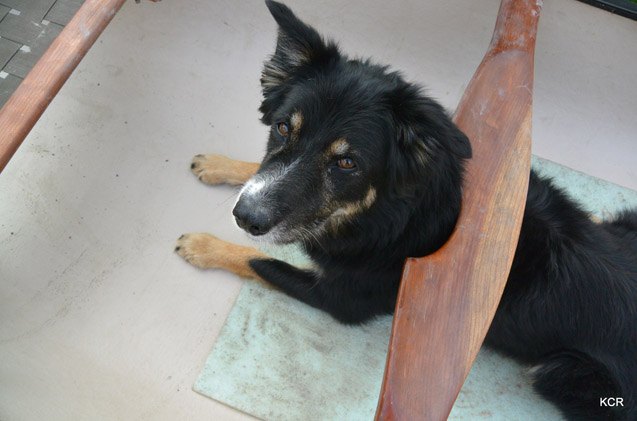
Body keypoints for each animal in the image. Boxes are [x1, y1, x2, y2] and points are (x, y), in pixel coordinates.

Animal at [175, 2, 636, 416]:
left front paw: (201, 245)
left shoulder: (340, 298)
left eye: (347, 163)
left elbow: (258, 261)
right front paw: (217, 165)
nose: (245, 216)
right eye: (283, 127)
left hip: (559, 370)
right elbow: (254, 176)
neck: (386, 215)